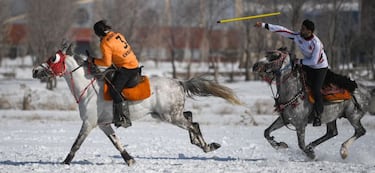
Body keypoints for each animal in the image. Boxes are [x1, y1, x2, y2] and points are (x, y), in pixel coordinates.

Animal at [31, 44, 241, 166]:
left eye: (53, 58)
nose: (35, 71)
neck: (88, 88)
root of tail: (180, 82)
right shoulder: (103, 124)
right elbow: (117, 143)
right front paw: (130, 160)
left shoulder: (88, 123)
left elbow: (76, 144)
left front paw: (65, 162)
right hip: (169, 114)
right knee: (190, 116)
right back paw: (201, 143)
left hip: (171, 116)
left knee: (193, 124)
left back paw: (207, 147)